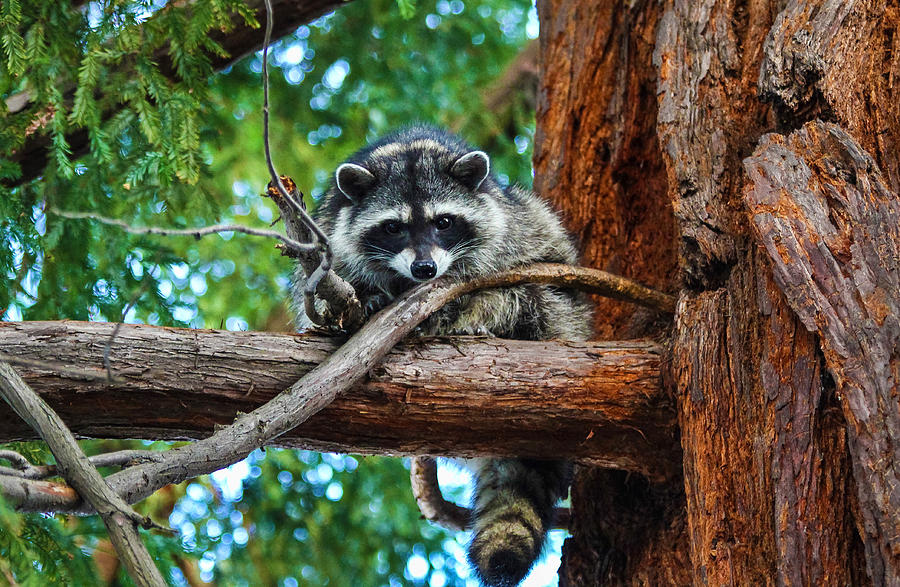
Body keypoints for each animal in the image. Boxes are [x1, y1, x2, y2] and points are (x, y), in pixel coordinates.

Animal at [294, 126, 592, 584]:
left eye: (444, 222)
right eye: (393, 227)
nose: (425, 270)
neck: (410, 148)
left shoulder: (516, 223)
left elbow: (532, 264)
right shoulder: (328, 230)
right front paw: (362, 301)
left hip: (563, 317)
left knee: (531, 297)